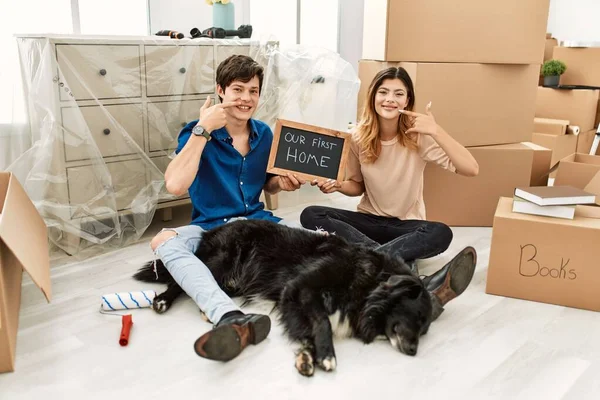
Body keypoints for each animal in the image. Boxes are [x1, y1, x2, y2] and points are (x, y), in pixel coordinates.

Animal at [132, 217, 432, 376]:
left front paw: (307, 356)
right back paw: (162, 300)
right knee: (180, 282)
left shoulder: (295, 299)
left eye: (425, 329)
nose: (415, 352)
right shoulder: (300, 288)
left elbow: (306, 327)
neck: (367, 282)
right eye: (416, 317)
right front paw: (326, 354)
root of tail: (211, 230)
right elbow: (322, 321)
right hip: (220, 261)